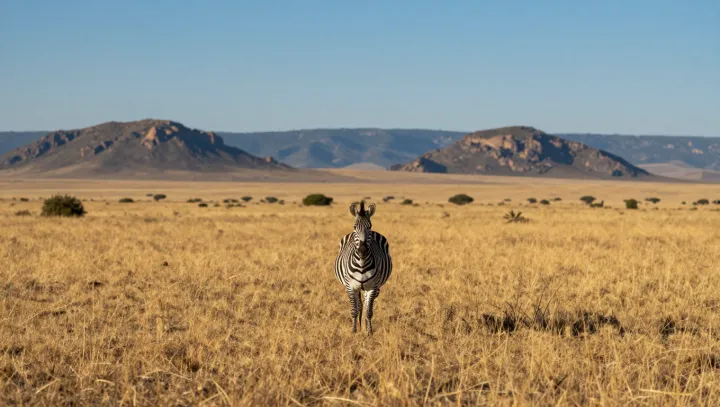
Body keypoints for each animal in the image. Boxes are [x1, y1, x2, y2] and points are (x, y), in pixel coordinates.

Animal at [334, 200, 392, 335]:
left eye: (369, 226)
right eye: (355, 226)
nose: (362, 250)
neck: (361, 263)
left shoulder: (372, 287)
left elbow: (369, 311)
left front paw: (369, 332)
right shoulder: (350, 287)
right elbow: (354, 310)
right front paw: (354, 331)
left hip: (371, 287)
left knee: (365, 304)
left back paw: (365, 326)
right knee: (359, 305)